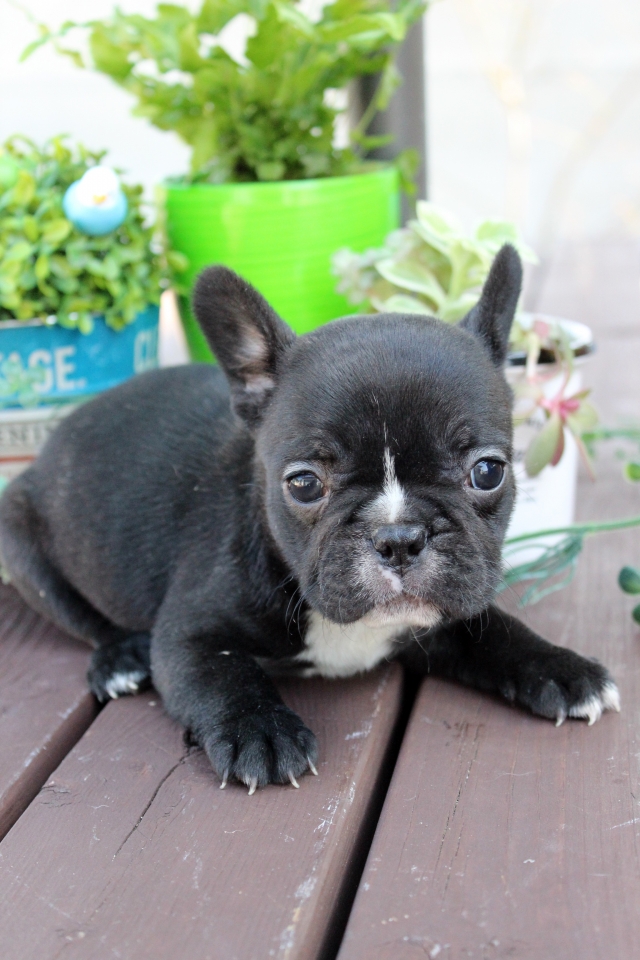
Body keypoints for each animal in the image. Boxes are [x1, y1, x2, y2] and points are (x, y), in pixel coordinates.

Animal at [0, 244, 619, 794]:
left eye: (488, 472)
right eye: (303, 483)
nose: (399, 537)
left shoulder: (443, 613)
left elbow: (494, 628)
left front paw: (562, 668)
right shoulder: (187, 634)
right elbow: (224, 673)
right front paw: (261, 731)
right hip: (21, 542)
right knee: (80, 614)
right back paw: (118, 660)